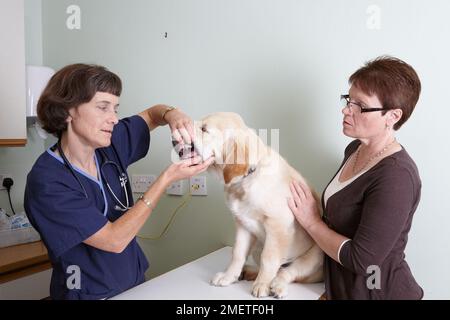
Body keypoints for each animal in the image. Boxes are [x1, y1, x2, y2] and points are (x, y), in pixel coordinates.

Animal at [190, 112, 324, 298]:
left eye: (204, 129)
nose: (182, 126)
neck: (247, 179)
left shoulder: (278, 225)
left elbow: (269, 259)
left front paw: (262, 284)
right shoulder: (242, 224)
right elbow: (237, 253)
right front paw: (228, 276)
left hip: (315, 256)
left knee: (287, 272)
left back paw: (276, 285)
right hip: (256, 247)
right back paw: (248, 272)